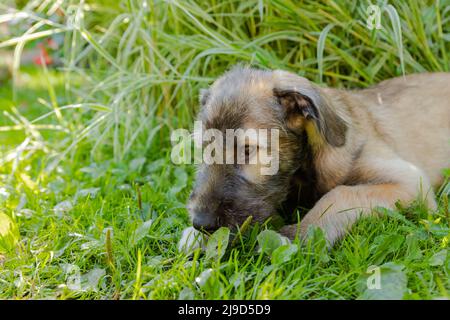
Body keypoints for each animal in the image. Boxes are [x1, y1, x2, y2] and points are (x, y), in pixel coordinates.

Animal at [186, 65, 450, 245]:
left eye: (247, 150)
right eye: (204, 148)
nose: (201, 223)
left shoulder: (411, 182)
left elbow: (341, 194)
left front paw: (299, 233)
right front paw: (194, 238)